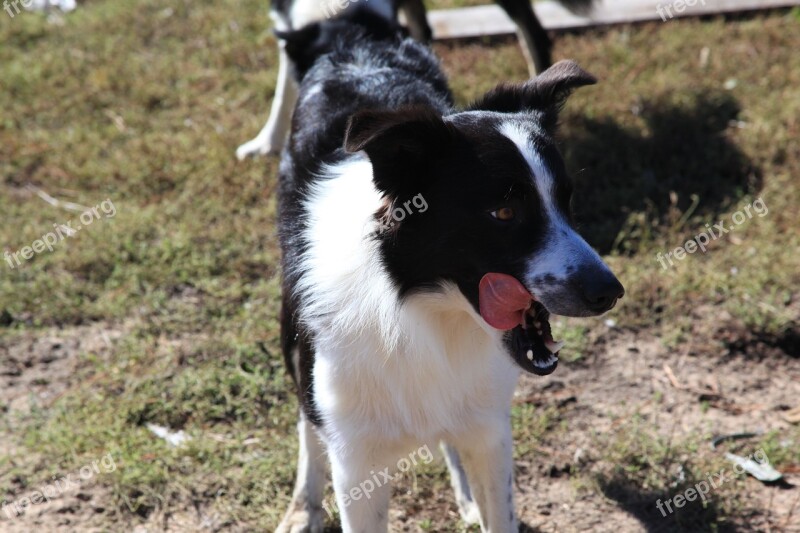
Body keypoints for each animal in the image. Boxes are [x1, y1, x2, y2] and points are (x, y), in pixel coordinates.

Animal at [276, 9, 624, 532]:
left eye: (566, 200)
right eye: (504, 212)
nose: (609, 291)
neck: (421, 308)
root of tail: (353, 34)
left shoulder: (490, 433)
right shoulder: (356, 462)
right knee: (305, 417)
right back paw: (304, 505)